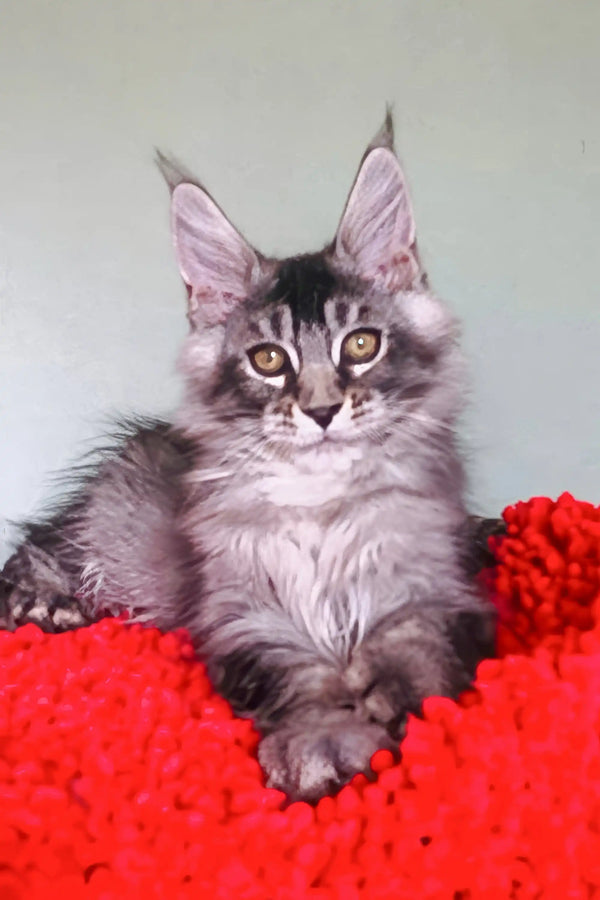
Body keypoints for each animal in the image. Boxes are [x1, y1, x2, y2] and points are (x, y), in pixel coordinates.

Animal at [2, 118, 494, 800]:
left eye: (360, 345)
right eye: (268, 359)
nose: (321, 410)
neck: (321, 505)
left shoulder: (442, 592)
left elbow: (417, 645)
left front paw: (390, 698)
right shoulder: (246, 619)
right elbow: (301, 683)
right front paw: (322, 742)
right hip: (114, 526)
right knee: (41, 542)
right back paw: (46, 603)